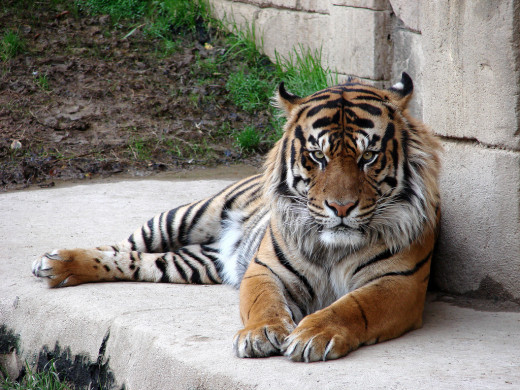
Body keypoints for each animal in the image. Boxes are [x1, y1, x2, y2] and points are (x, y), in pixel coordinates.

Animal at [31, 73, 438, 362]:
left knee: (133, 261)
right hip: (182, 217)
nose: (341, 207)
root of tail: (219, 245)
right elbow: (264, 303)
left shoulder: (400, 283)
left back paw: (58, 267)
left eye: (368, 157)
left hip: (190, 263)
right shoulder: (266, 268)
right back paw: (53, 261)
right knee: (120, 246)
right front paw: (260, 335)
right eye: (317, 157)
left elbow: (353, 306)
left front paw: (314, 334)